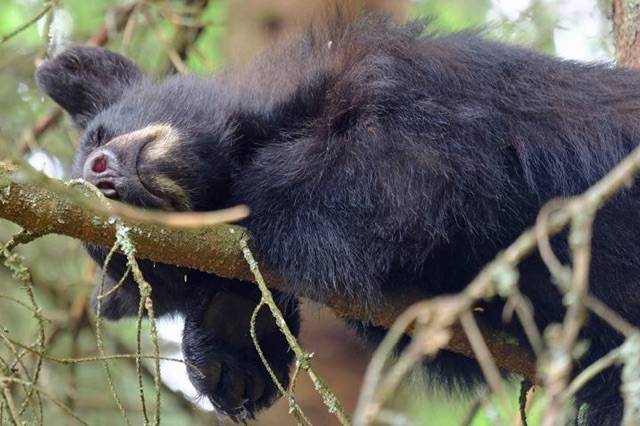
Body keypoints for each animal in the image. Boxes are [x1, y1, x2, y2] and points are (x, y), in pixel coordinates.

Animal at [35, 15, 640, 425]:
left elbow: (403, 173)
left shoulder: (404, 84)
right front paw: (233, 352)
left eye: (100, 135)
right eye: (129, 257)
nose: (101, 176)